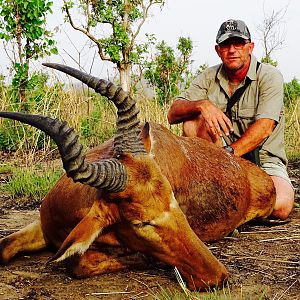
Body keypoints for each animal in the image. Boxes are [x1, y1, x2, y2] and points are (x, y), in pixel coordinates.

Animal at [0, 63, 276, 290]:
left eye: (175, 202)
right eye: (141, 222)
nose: (219, 277)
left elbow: (78, 264)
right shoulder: (42, 227)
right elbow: (4, 248)